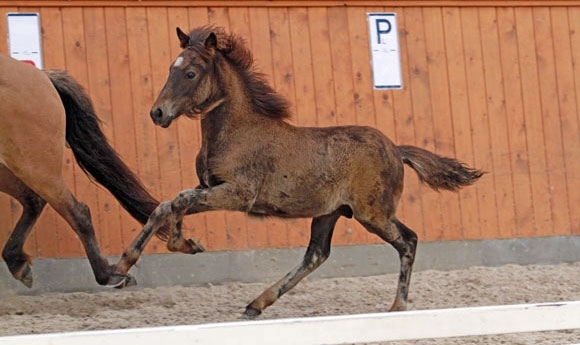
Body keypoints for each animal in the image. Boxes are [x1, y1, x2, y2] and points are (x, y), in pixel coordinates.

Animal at [0, 55, 179, 288]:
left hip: (33, 165)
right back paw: (18, 264)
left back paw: (109, 274)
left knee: (77, 211)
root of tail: (42, 75)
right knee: (34, 201)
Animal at [113, 26, 484, 318]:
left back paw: (397, 307)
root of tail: (396, 149)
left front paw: (176, 245)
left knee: (408, 241)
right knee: (316, 254)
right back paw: (256, 304)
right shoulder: (209, 186)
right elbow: (169, 204)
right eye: (170, 68)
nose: (158, 113)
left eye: (190, 73)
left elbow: (177, 200)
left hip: (373, 213)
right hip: (331, 213)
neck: (235, 131)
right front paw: (129, 264)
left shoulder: (237, 193)